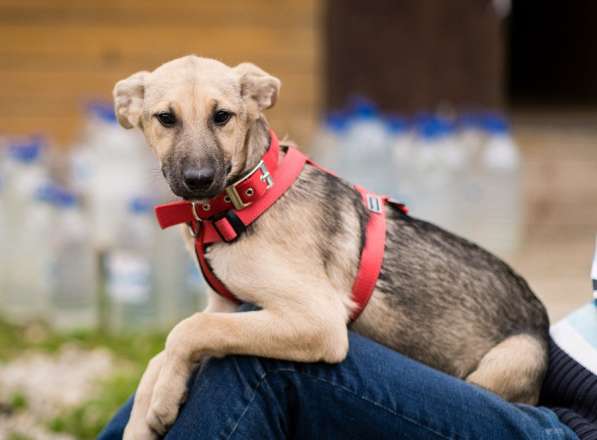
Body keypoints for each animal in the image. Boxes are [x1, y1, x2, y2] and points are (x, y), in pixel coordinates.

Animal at [113, 55, 548, 436]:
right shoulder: (226, 305)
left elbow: (188, 329)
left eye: (222, 116)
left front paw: (162, 402)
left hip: (511, 358)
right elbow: (162, 353)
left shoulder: (317, 321)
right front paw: (143, 419)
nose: (199, 179)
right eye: (165, 118)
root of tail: (539, 317)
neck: (250, 195)